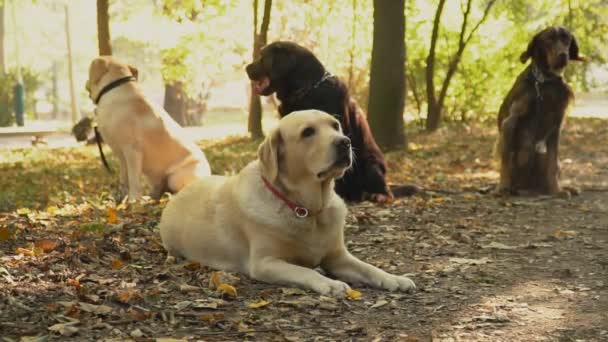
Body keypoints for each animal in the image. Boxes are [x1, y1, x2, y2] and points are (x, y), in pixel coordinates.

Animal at [498, 26, 584, 198]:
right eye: (549, 39)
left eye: (566, 39)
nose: (563, 55)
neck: (545, 81)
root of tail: (529, 186)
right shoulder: (510, 121)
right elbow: (506, 158)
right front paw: (503, 187)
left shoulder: (556, 127)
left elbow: (552, 164)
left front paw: (557, 190)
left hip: (541, 156)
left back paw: (563, 188)